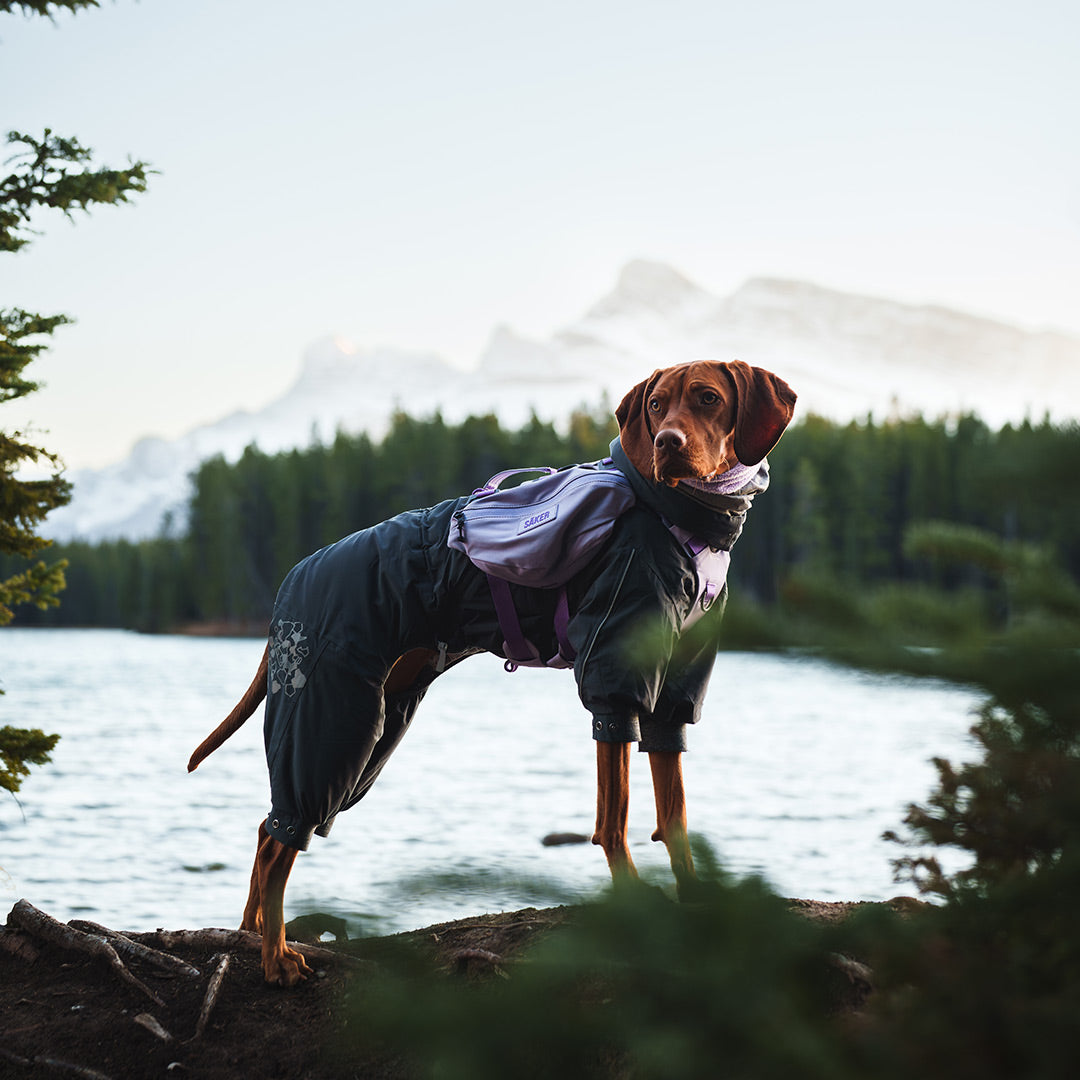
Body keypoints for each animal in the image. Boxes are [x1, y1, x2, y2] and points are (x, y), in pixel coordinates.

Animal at [187, 362, 794, 989]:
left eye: (708, 399)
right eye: (655, 405)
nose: (666, 444)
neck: (683, 515)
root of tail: (294, 575)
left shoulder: (675, 688)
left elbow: (673, 812)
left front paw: (696, 895)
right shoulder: (614, 673)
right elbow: (615, 816)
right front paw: (632, 898)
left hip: (374, 724)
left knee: (270, 827)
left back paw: (251, 937)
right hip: (330, 715)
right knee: (279, 840)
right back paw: (276, 958)